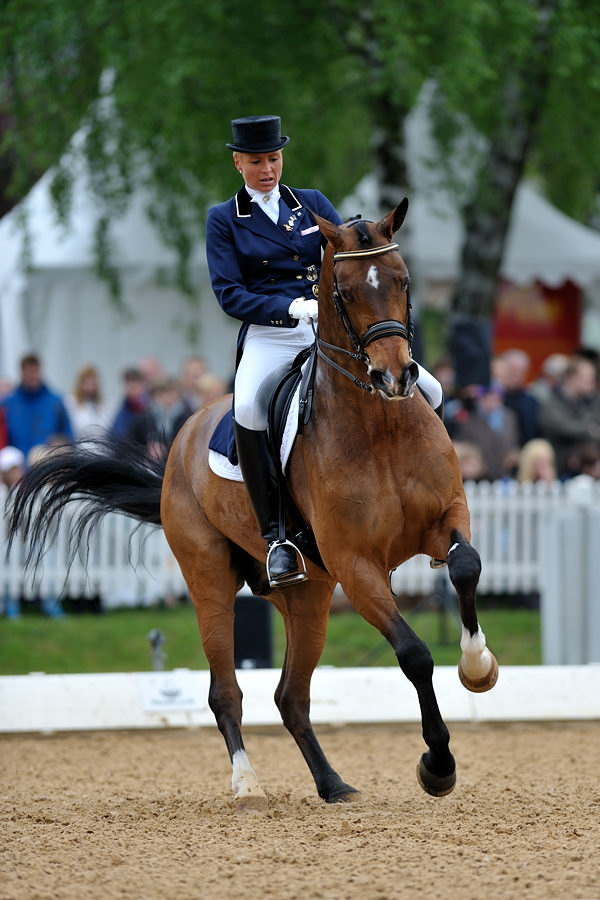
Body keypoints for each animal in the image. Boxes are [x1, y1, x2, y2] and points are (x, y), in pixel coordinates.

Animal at [7, 198, 498, 810]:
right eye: (344, 292)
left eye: (403, 281)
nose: (394, 375)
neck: (379, 424)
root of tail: (183, 437)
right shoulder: (357, 566)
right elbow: (413, 654)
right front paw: (438, 765)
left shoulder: (446, 518)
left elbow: (465, 565)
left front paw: (479, 668)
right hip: (211, 582)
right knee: (225, 691)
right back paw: (247, 784)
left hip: (309, 595)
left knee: (291, 696)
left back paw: (333, 785)